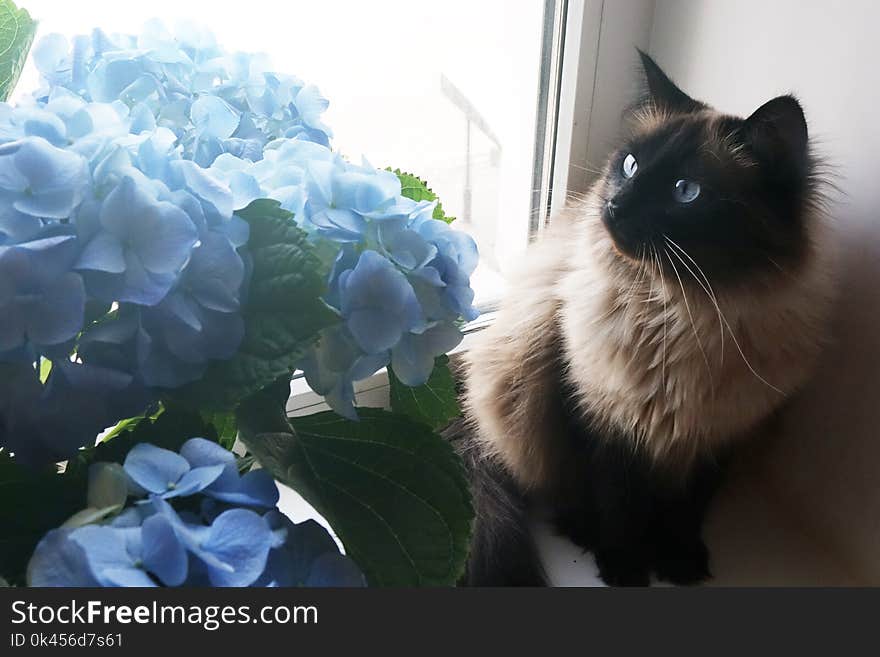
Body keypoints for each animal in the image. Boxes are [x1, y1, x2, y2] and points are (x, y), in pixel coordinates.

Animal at [450, 51, 836, 584]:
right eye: (630, 166)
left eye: (685, 191)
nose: (614, 206)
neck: (679, 315)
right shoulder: (601, 422)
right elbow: (615, 506)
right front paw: (624, 567)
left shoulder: (717, 437)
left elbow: (687, 512)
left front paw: (678, 562)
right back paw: (582, 533)